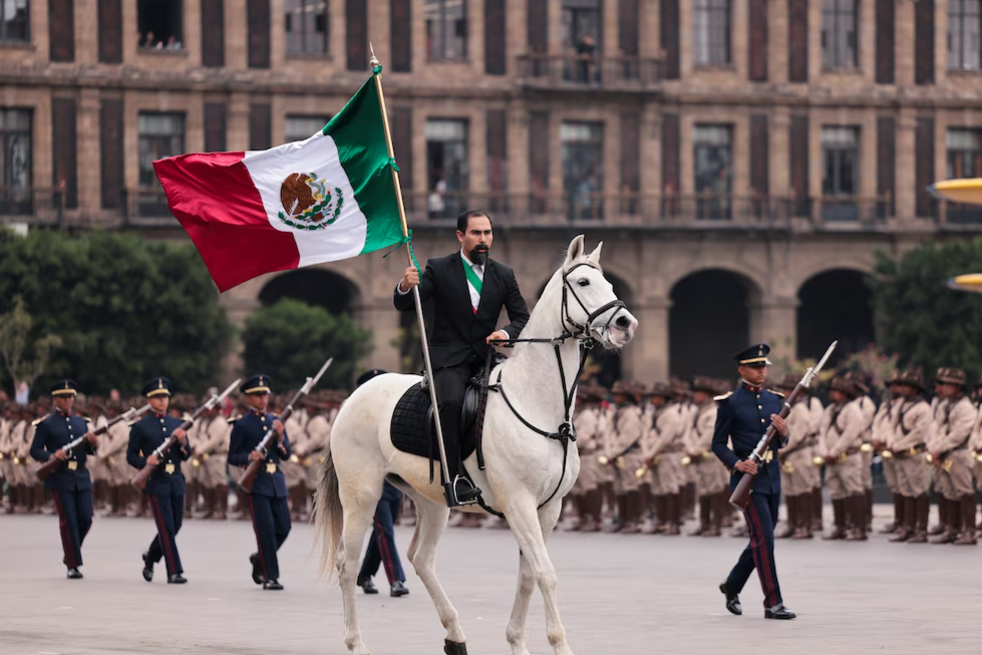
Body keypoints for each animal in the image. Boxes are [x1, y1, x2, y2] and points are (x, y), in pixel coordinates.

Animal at [314, 236, 640, 655]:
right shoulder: (519, 504)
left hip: (432, 499)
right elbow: (546, 574)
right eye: (583, 282)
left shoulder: (548, 508)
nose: (625, 324)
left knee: (421, 558)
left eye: (612, 285)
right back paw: (357, 643)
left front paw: (516, 641)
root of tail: (355, 396)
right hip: (361, 495)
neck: (538, 401)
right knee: (348, 564)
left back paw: (455, 635)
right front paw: (558, 644)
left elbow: (528, 576)